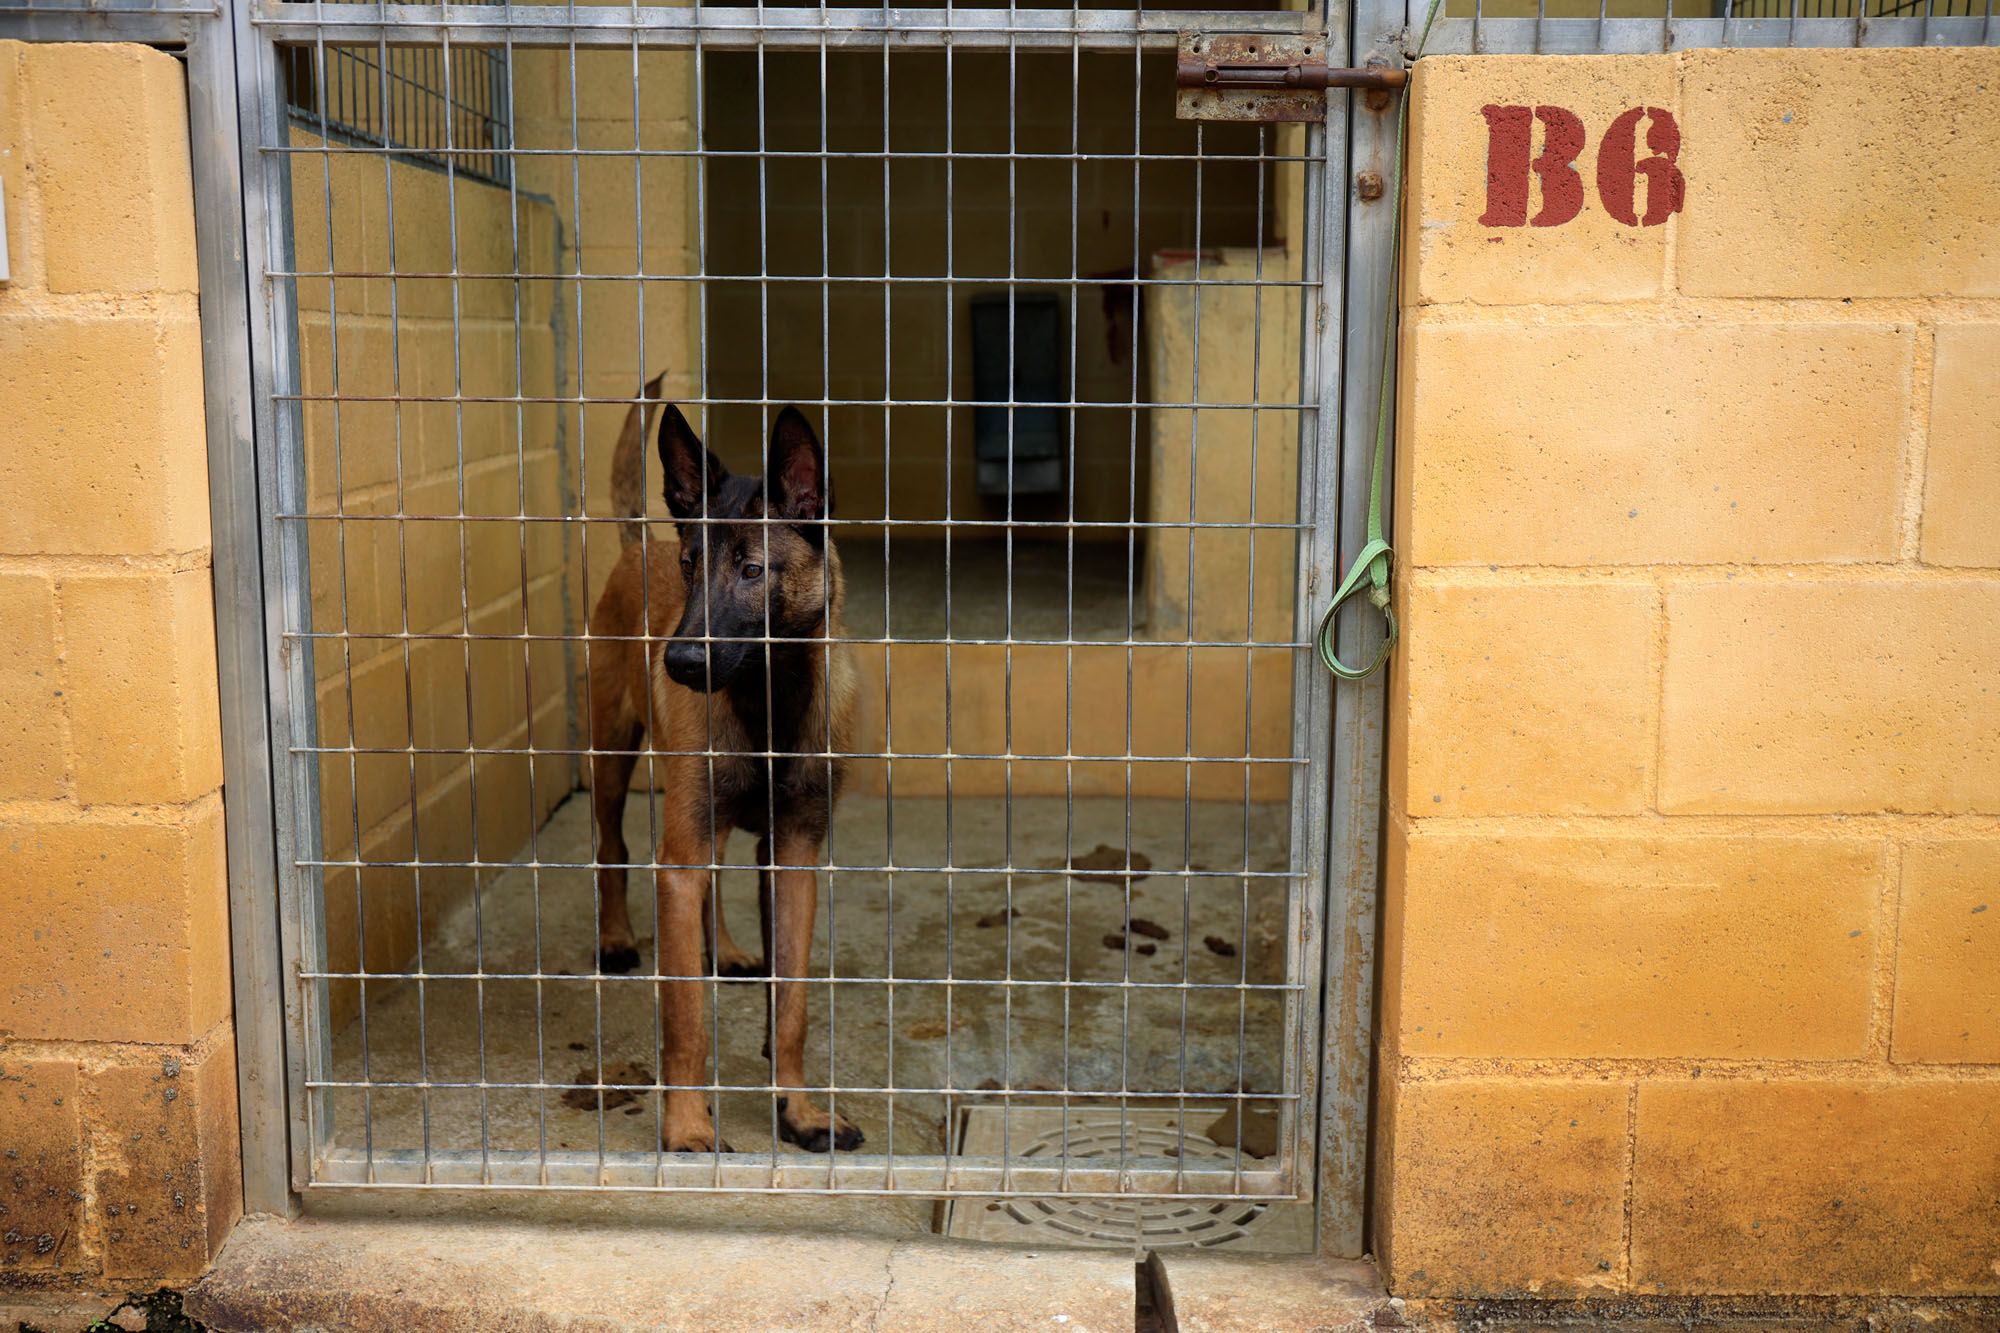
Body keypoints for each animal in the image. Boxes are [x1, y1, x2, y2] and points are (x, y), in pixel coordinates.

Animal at [580, 370, 860, 1152]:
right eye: (689, 567)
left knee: (712, 886)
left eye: (753, 569)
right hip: (613, 755)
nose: (678, 662)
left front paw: (797, 1107)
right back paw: (616, 937)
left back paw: (727, 951)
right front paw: (687, 1126)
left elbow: (791, 1005)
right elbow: (686, 1021)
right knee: (612, 846)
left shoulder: (793, 853)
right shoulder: (679, 853)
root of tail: (638, 540)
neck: (770, 702)